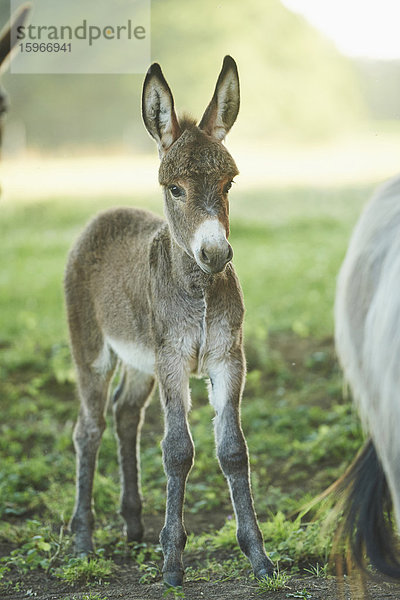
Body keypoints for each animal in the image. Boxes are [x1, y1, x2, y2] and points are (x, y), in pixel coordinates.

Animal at [65, 55, 274, 584]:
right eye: (174, 188)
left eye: (228, 183)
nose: (216, 253)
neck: (197, 287)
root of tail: (105, 215)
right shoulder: (174, 359)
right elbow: (178, 450)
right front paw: (174, 564)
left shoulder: (226, 357)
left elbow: (233, 450)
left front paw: (258, 557)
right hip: (94, 353)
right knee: (89, 428)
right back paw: (83, 540)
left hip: (141, 360)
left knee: (124, 415)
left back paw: (134, 525)